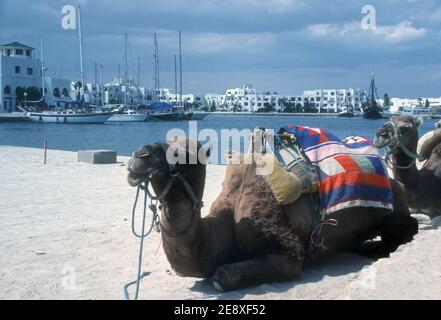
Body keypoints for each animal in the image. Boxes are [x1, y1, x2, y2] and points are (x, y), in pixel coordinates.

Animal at [126, 138, 416, 292]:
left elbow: (222, 276)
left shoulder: (289, 253)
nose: (139, 156)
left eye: (182, 154)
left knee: (407, 228)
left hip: (396, 211)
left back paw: (378, 249)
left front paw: (221, 278)